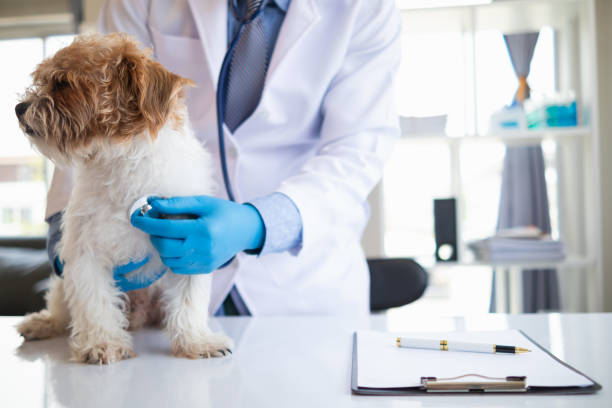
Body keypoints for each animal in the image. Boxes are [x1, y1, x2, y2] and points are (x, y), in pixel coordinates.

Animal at [14, 31, 234, 364]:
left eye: (62, 83)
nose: (19, 107)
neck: (120, 158)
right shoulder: (84, 252)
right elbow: (94, 302)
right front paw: (102, 343)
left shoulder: (190, 244)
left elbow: (189, 300)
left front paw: (196, 341)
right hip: (61, 282)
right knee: (61, 308)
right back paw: (42, 323)